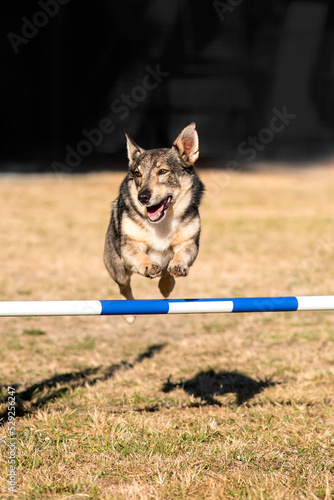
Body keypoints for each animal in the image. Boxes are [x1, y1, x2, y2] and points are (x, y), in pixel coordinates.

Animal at [103, 123, 204, 322]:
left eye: (163, 171)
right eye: (137, 173)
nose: (142, 197)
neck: (162, 223)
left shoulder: (189, 243)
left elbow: (180, 256)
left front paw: (177, 266)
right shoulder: (130, 245)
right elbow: (139, 256)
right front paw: (149, 265)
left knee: (165, 273)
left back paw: (166, 286)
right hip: (116, 266)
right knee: (124, 286)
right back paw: (129, 313)